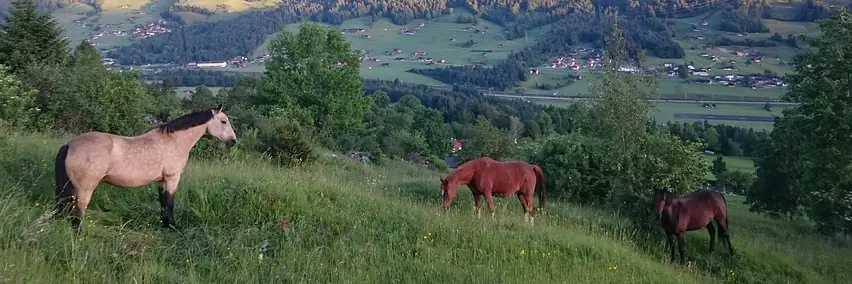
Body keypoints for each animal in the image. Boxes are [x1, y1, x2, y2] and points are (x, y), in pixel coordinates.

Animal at [53, 104, 236, 231]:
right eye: (223, 121)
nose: (233, 141)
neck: (174, 141)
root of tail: (69, 145)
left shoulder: (161, 180)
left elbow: (163, 202)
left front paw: (165, 223)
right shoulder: (172, 178)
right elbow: (170, 202)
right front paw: (173, 226)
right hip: (84, 190)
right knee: (77, 215)